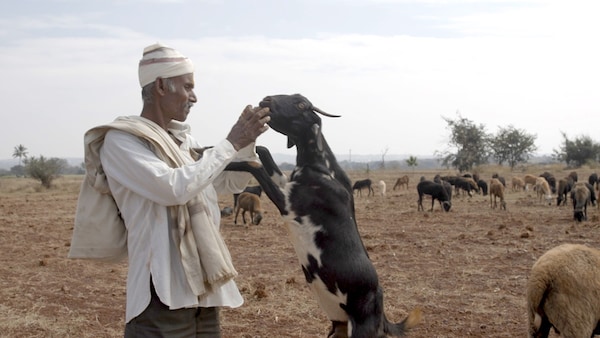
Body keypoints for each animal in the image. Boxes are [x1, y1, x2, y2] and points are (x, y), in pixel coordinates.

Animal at [230, 94, 422, 338]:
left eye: (301, 104)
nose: (266, 99)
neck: (321, 168)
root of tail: (382, 315)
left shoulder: (289, 204)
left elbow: (254, 164)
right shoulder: (286, 184)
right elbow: (264, 153)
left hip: (360, 331)